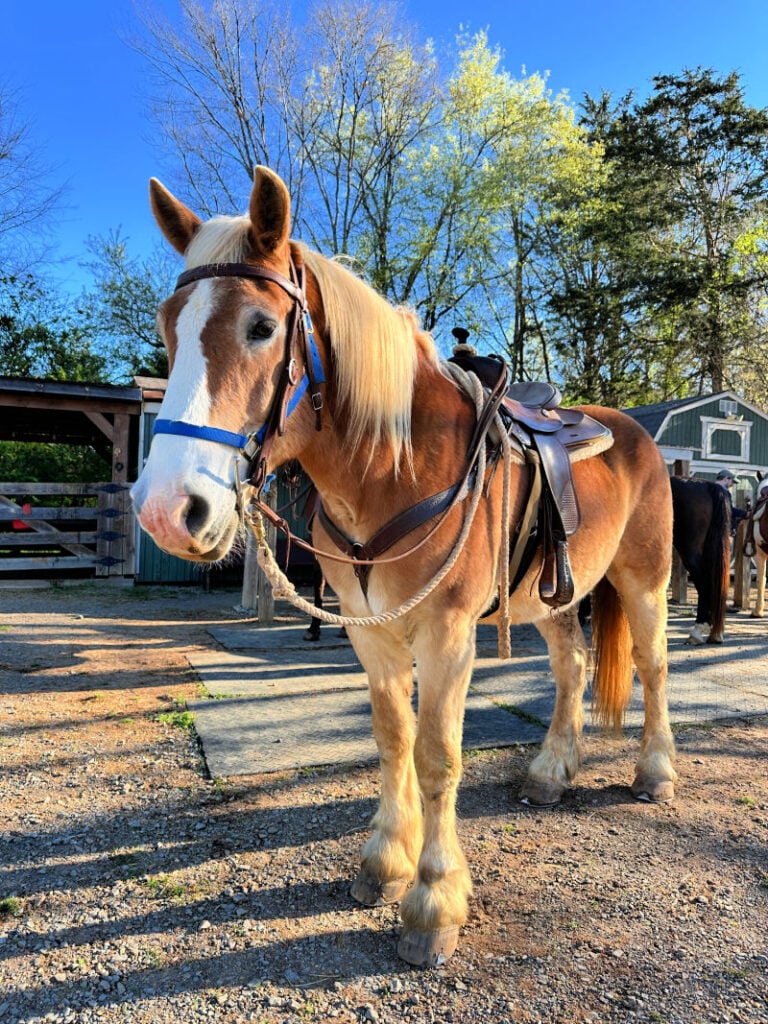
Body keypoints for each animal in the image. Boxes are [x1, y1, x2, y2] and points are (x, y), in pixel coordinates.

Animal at [132, 165, 679, 966]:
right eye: (169, 327)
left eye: (261, 327)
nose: (169, 510)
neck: (396, 463)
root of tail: (635, 431)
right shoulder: (372, 632)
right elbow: (393, 739)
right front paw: (386, 862)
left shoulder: (446, 635)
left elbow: (438, 756)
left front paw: (433, 899)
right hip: (549, 597)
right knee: (573, 667)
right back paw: (551, 771)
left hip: (645, 580)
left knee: (652, 665)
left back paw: (655, 772)